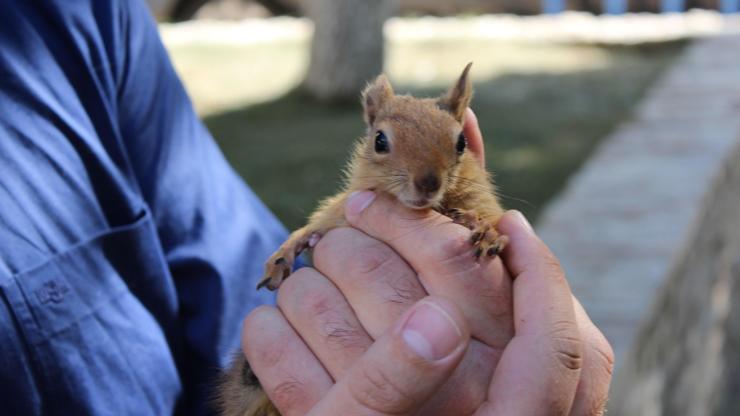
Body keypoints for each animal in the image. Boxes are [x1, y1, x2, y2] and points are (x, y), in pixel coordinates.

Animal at [215, 62, 508, 416]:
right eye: (380, 140)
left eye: (461, 142)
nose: (428, 183)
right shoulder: (344, 205)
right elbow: (319, 222)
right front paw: (284, 253)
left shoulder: (482, 200)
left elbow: (491, 218)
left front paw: (484, 230)